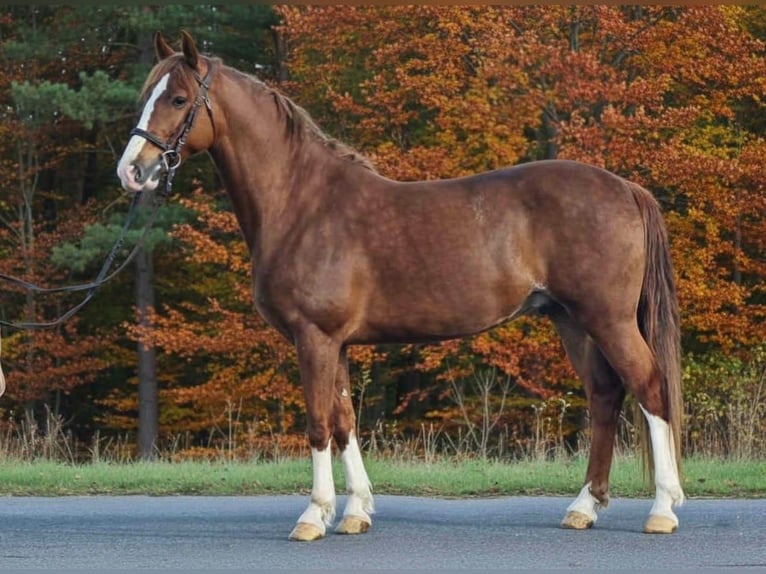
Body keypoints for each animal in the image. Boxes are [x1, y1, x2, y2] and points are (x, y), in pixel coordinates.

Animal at [117, 31, 685, 541]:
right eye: (145, 96)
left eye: (178, 98)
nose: (132, 171)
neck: (302, 203)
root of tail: (626, 188)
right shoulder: (336, 343)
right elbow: (344, 419)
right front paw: (354, 513)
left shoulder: (314, 337)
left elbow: (319, 423)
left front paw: (313, 516)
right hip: (572, 321)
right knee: (605, 395)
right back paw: (584, 507)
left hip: (606, 319)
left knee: (649, 387)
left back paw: (661, 510)